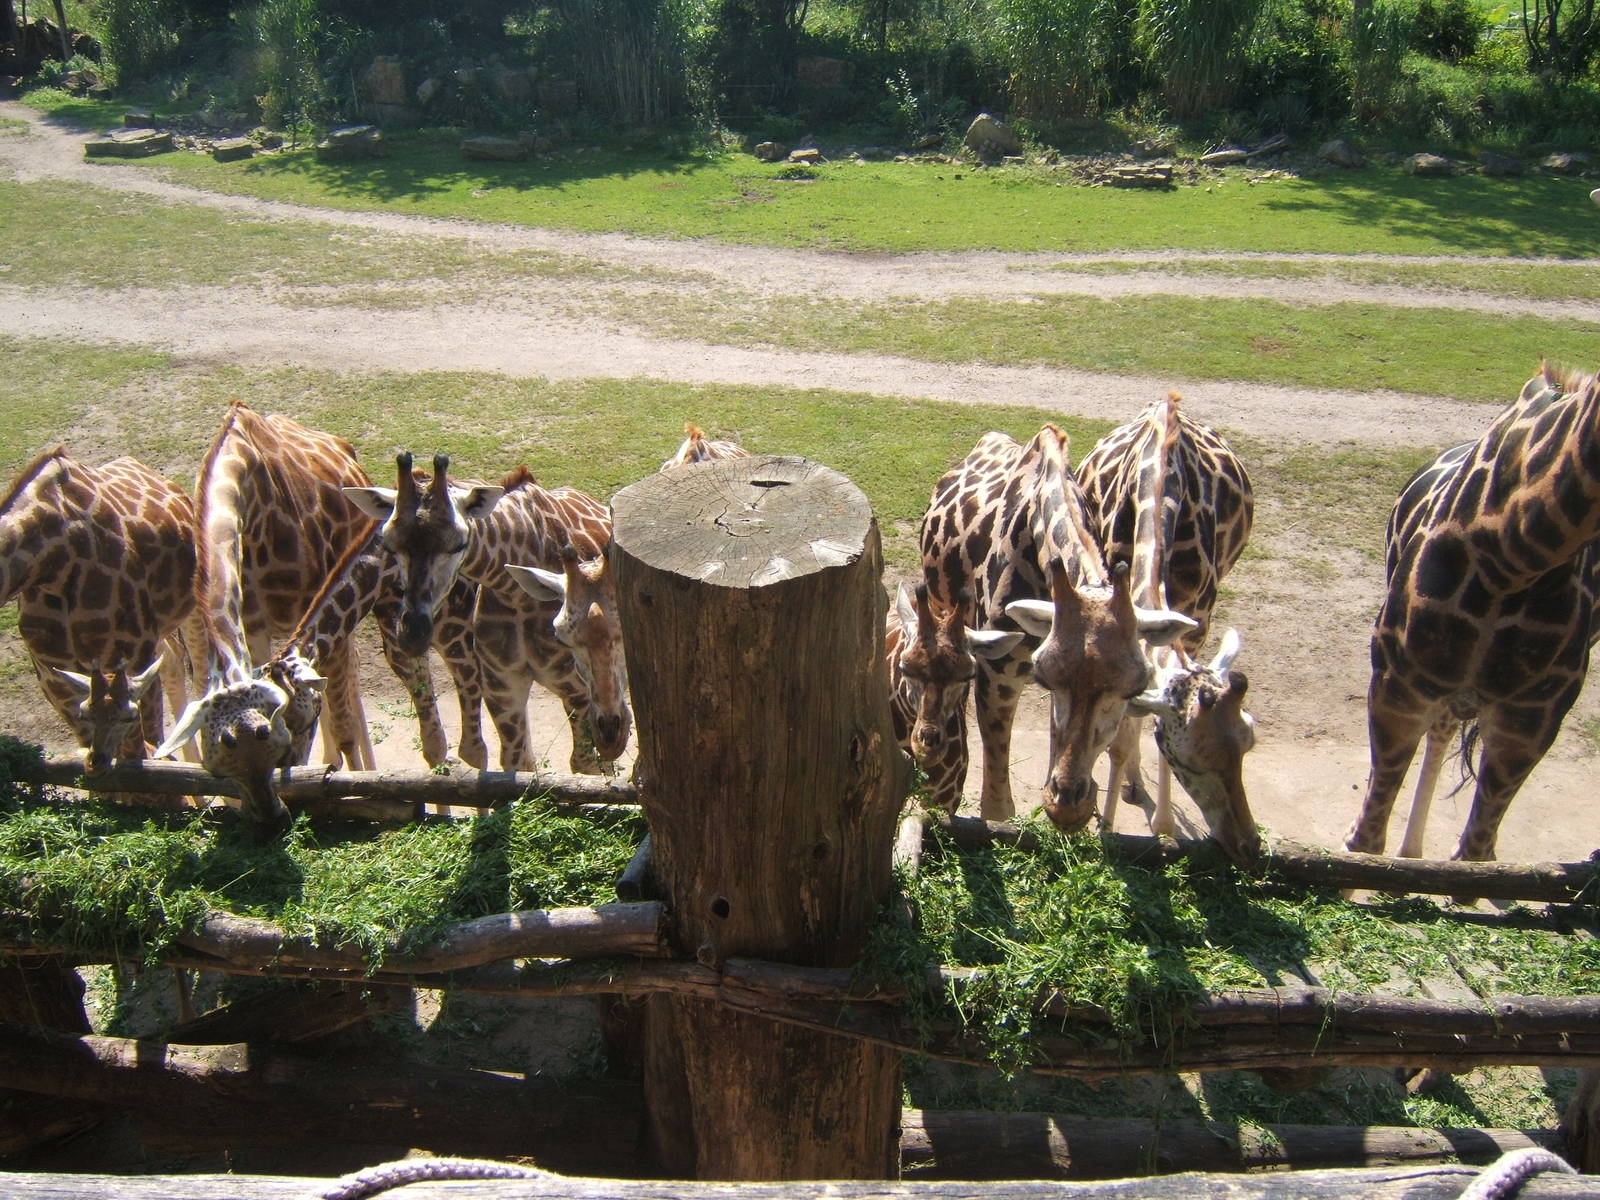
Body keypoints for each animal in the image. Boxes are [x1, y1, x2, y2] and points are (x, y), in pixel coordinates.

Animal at [345, 454, 627, 772]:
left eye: (459, 543)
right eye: (388, 543)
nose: (413, 634)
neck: (516, 595)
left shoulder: (576, 690)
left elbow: (585, 765)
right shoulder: (501, 689)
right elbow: (517, 763)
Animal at [919, 425, 1196, 825]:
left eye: (1134, 688)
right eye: (1046, 676)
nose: (1068, 805)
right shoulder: (998, 675)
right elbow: (998, 808)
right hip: (941, 603)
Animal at [1076, 393, 1260, 868]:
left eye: (1249, 743)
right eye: (1189, 760)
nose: (1246, 846)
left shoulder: (1198, 616)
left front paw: (1163, 826)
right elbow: (1123, 735)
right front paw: (1106, 824)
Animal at [1345, 363, 1600, 870]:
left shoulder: (1533, 720)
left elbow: (1477, 855)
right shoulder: (1396, 687)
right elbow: (1365, 840)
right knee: (1442, 732)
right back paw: (1411, 850)